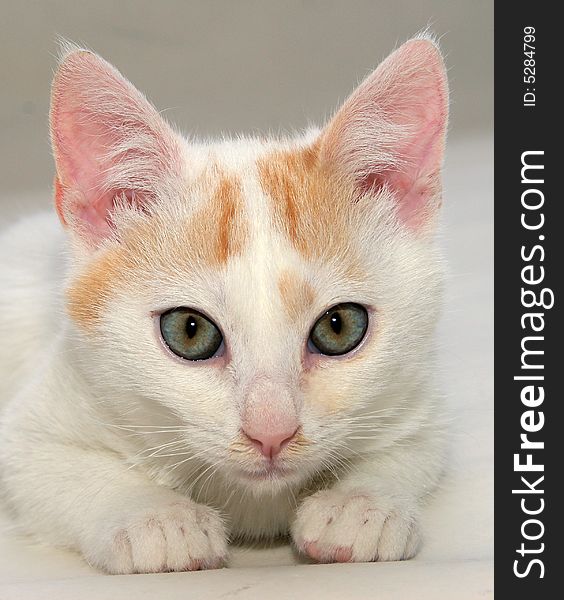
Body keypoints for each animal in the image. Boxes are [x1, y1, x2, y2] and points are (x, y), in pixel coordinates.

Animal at [0, 36, 450, 572]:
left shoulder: (417, 400)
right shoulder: (38, 420)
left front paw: (360, 506)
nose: (272, 433)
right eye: (189, 331)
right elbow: (57, 467)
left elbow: (414, 449)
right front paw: (157, 519)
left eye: (339, 327)